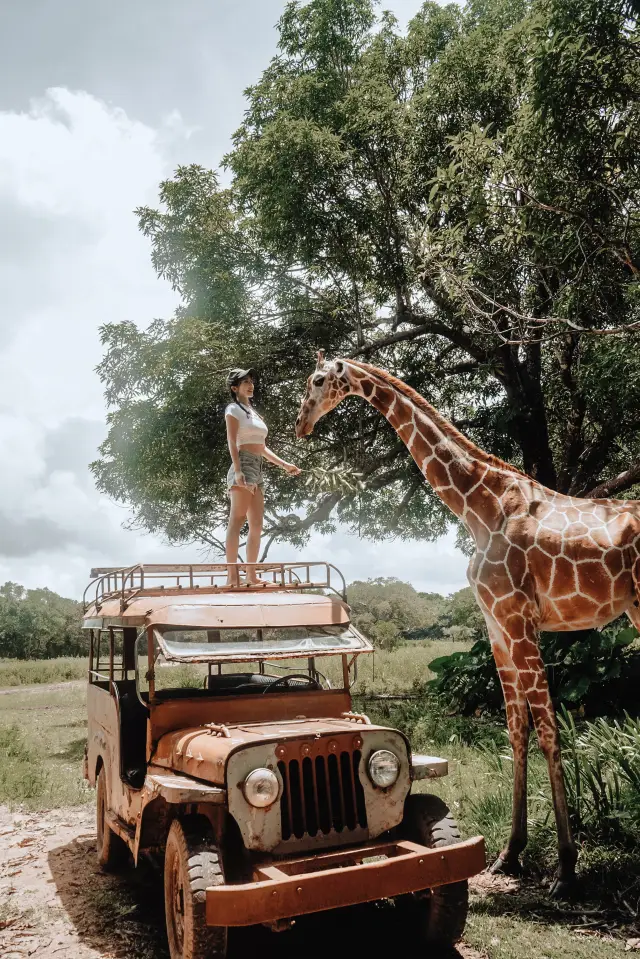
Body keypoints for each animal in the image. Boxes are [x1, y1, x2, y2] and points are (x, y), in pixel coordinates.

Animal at [294, 352, 640, 900]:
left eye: (319, 380)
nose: (300, 423)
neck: (480, 506)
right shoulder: (496, 624)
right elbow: (516, 729)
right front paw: (510, 854)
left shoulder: (520, 619)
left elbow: (548, 731)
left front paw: (566, 869)